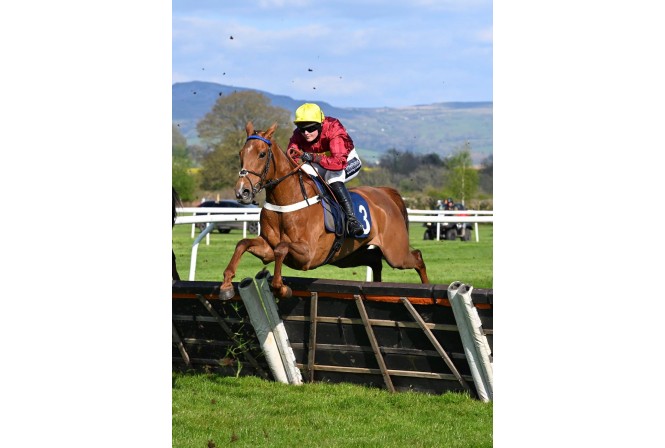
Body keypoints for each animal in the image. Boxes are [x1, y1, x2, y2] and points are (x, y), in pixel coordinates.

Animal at [215, 121, 428, 300]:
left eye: (261, 154)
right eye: (241, 154)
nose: (242, 191)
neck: (286, 201)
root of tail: (385, 193)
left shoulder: (308, 254)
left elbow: (281, 248)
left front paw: (281, 288)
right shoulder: (267, 247)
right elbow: (243, 244)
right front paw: (226, 285)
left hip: (396, 253)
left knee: (417, 257)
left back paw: (425, 288)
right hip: (349, 255)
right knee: (375, 261)